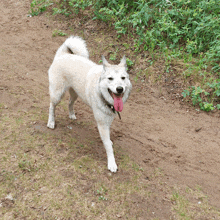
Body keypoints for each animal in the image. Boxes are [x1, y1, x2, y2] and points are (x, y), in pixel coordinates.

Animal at [47, 35, 131, 172]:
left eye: (123, 78)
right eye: (110, 78)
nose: (120, 89)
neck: (101, 92)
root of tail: (63, 54)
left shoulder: (108, 119)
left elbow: (108, 139)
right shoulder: (102, 124)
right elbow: (108, 146)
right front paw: (112, 163)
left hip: (75, 93)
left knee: (69, 103)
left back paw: (71, 114)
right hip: (57, 94)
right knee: (51, 107)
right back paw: (51, 122)